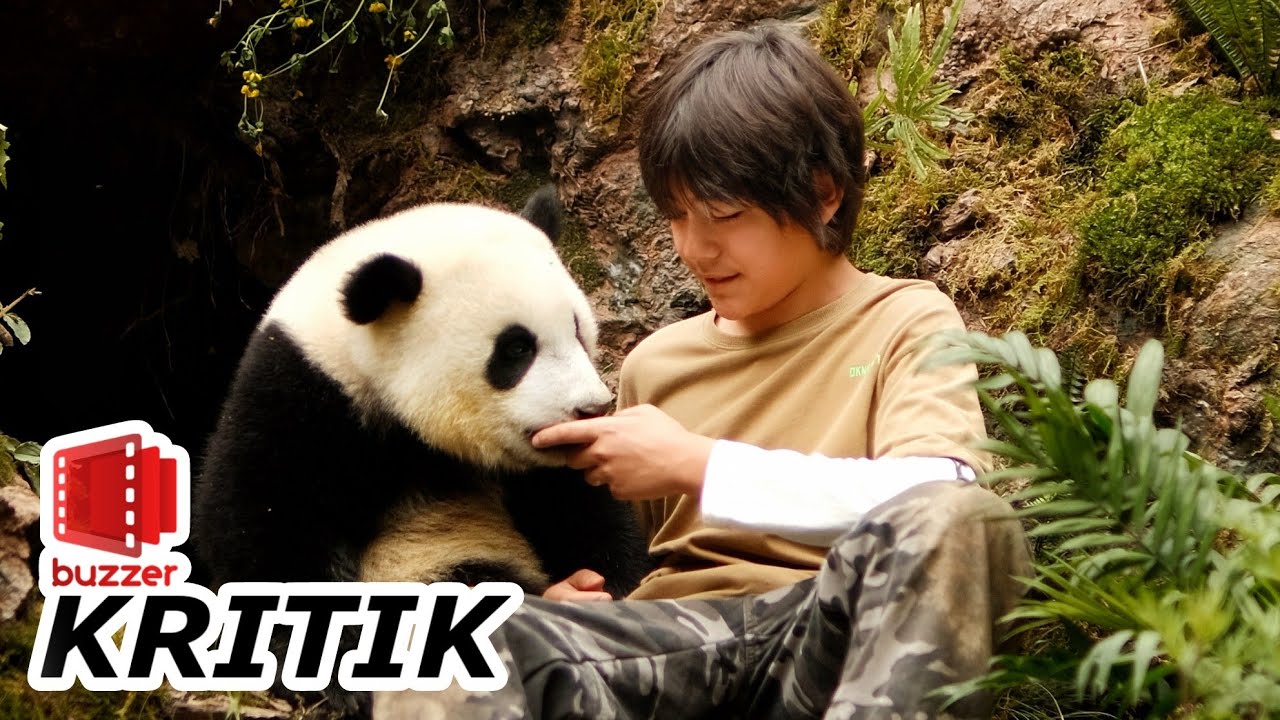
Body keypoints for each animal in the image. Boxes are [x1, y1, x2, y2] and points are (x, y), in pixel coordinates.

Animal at [190, 188, 650, 601]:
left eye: (578, 330)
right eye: (517, 349)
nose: (592, 408)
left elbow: (579, 505)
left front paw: (607, 581)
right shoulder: (301, 398)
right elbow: (266, 523)